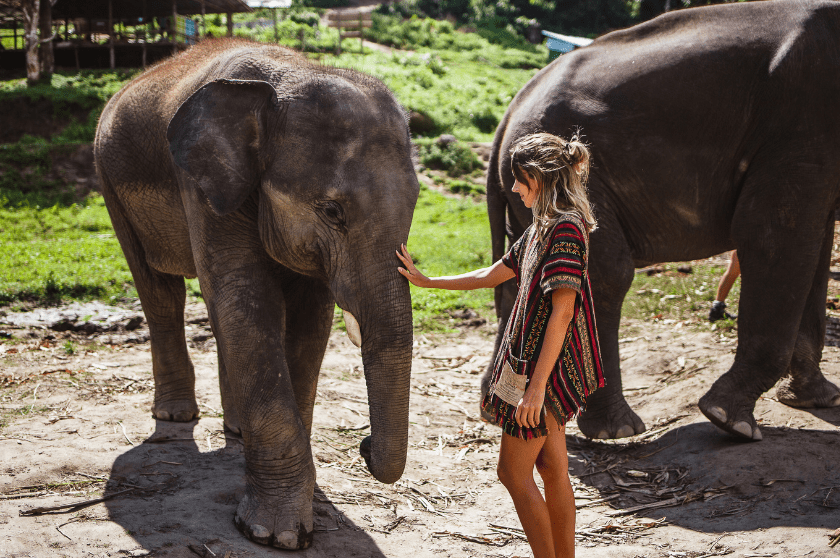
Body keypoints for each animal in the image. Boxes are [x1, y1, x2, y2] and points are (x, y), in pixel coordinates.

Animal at [93, 39, 418, 552]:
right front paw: (275, 534)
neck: (288, 77)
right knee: (160, 292)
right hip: (109, 181)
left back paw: (236, 428)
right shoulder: (203, 184)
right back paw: (175, 414)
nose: (364, 446)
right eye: (332, 211)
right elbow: (246, 296)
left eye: (416, 204)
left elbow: (308, 319)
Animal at [482, 0, 840, 444]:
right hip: (578, 178)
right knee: (606, 273)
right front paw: (730, 420)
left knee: (523, 277)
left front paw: (817, 399)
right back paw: (617, 429)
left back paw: (498, 412)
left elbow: (816, 246)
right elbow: (773, 236)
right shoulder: (801, 120)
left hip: (524, 197)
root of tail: (509, 112)